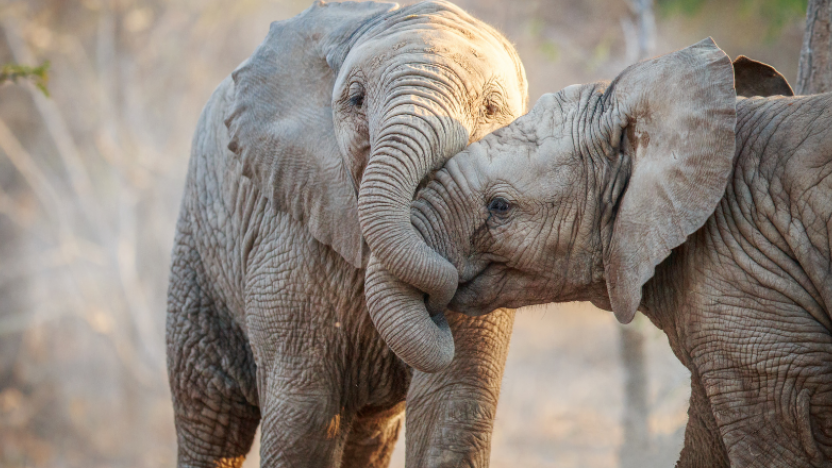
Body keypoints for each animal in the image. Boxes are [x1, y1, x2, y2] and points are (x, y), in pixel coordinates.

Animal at [165, 1, 527, 467]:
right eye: (356, 100)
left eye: (490, 108)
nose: (439, 296)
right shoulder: (288, 235)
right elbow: (305, 414)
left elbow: (451, 404)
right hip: (199, 248)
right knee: (209, 414)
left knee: (369, 435)